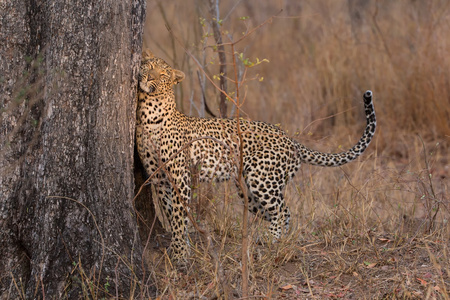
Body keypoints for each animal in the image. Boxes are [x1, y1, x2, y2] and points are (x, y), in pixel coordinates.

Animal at [136, 49, 376, 260]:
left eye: (163, 74)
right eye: (149, 66)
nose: (149, 77)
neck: (149, 113)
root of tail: (290, 139)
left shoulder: (179, 178)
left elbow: (178, 217)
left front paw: (180, 255)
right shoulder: (160, 180)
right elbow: (174, 215)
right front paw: (179, 247)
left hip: (261, 179)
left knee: (281, 211)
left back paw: (270, 239)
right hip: (248, 192)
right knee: (284, 211)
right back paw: (279, 241)